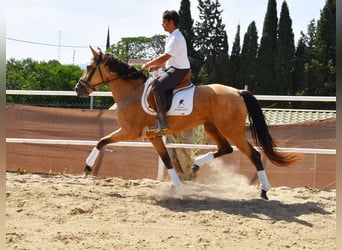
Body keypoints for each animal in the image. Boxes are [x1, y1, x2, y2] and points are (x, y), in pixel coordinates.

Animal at [74, 46, 300, 199]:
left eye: (89, 67)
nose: (79, 88)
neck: (132, 92)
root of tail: (237, 92)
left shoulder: (130, 131)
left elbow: (102, 141)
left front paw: (86, 168)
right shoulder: (153, 135)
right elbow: (166, 159)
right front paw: (176, 185)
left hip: (232, 130)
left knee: (253, 154)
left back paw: (264, 190)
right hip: (211, 126)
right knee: (225, 148)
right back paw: (195, 166)